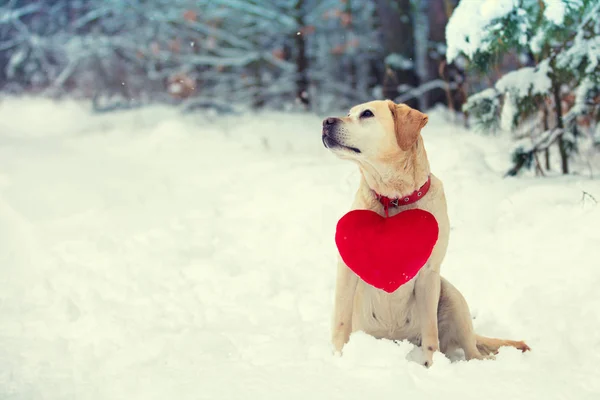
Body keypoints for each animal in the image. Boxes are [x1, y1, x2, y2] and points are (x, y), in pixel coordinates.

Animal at [324, 101, 528, 368]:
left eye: (366, 114)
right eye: (348, 113)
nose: (326, 121)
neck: (394, 199)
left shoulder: (429, 273)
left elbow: (431, 332)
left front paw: (432, 367)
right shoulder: (347, 269)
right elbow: (340, 322)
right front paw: (337, 358)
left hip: (451, 294)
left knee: (472, 350)